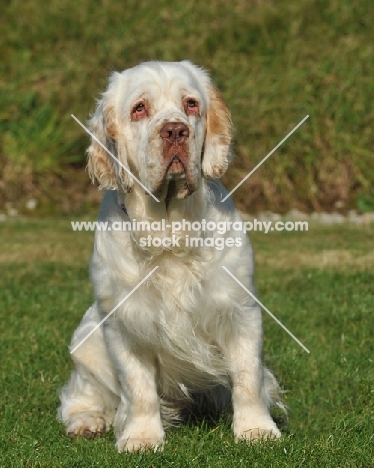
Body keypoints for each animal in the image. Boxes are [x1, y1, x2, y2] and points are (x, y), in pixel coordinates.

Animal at [57, 60, 284, 452]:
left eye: (191, 104)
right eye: (139, 108)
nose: (175, 130)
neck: (170, 230)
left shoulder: (239, 310)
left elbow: (248, 377)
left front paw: (256, 430)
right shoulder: (124, 322)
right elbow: (138, 389)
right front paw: (141, 436)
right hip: (86, 340)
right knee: (80, 397)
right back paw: (88, 421)